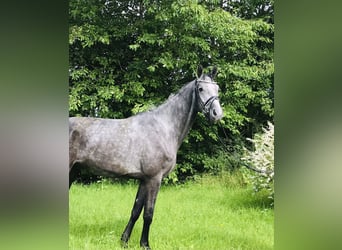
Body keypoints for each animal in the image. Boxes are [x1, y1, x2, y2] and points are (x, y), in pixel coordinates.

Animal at [69, 65, 224, 249]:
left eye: (217, 88)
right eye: (200, 88)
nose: (217, 114)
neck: (164, 127)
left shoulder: (144, 180)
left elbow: (136, 211)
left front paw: (124, 241)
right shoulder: (154, 179)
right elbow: (148, 214)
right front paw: (145, 244)